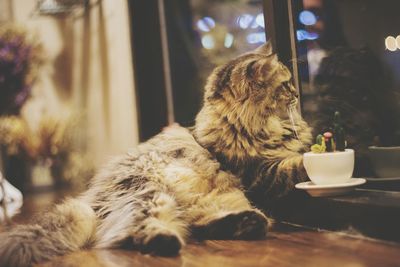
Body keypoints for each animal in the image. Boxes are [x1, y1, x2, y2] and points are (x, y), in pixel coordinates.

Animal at [0, 43, 312, 266]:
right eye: (285, 85)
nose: (298, 93)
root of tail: (90, 201)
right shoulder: (261, 175)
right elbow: (297, 164)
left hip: (201, 203)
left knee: (199, 226)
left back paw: (246, 223)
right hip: (149, 194)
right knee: (131, 236)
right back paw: (167, 243)